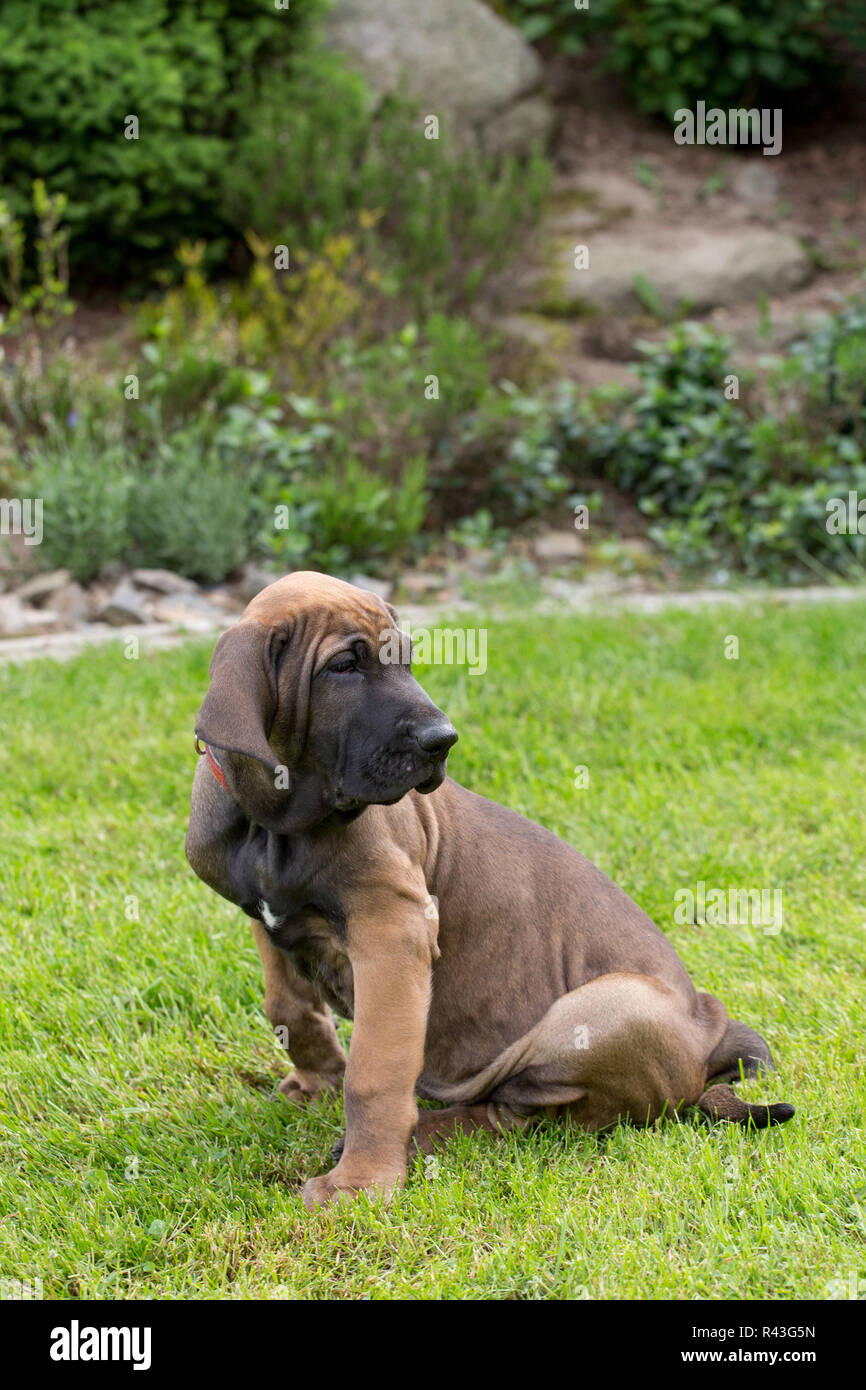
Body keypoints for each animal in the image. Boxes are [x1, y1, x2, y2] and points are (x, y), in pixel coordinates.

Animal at [186, 572, 795, 1206]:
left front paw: (361, 1182)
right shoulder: (268, 918)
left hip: (601, 1012)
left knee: (524, 1114)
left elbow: (375, 1072)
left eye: (406, 660)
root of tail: (711, 1028)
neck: (277, 825)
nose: (443, 740)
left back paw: (422, 1134)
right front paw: (318, 1080)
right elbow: (289, 1005)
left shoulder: (393, 931)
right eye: (344, 667)